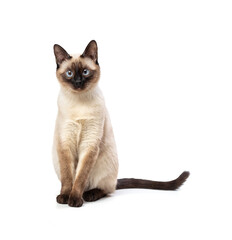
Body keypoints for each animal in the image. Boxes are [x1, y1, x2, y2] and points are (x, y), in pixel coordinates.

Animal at [52, 40, 190, 207]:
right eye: (69, 74)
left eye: (85, 72)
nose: (78, 82)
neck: (79, 101)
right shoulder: (65, 142)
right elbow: (68, 176)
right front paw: (65, 196)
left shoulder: (90, 143)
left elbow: (80, 177)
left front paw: (74, 199)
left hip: (105, 164)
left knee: (106, 188)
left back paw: (89, 195)